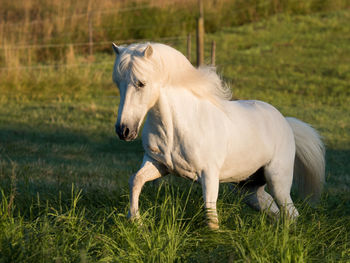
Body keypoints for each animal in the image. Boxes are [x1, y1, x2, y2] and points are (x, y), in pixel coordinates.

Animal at [111, 42, 326, 230]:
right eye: (117, 83)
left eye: (141, 83)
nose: (124, 131)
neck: (177, 128)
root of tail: (285, 122)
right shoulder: (158, 164)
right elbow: (135, 180)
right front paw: (136, 221)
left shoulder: (208, 174)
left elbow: (210, 213)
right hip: (248, 190)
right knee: (275, 211)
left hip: (278, 180)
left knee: (290, 212)